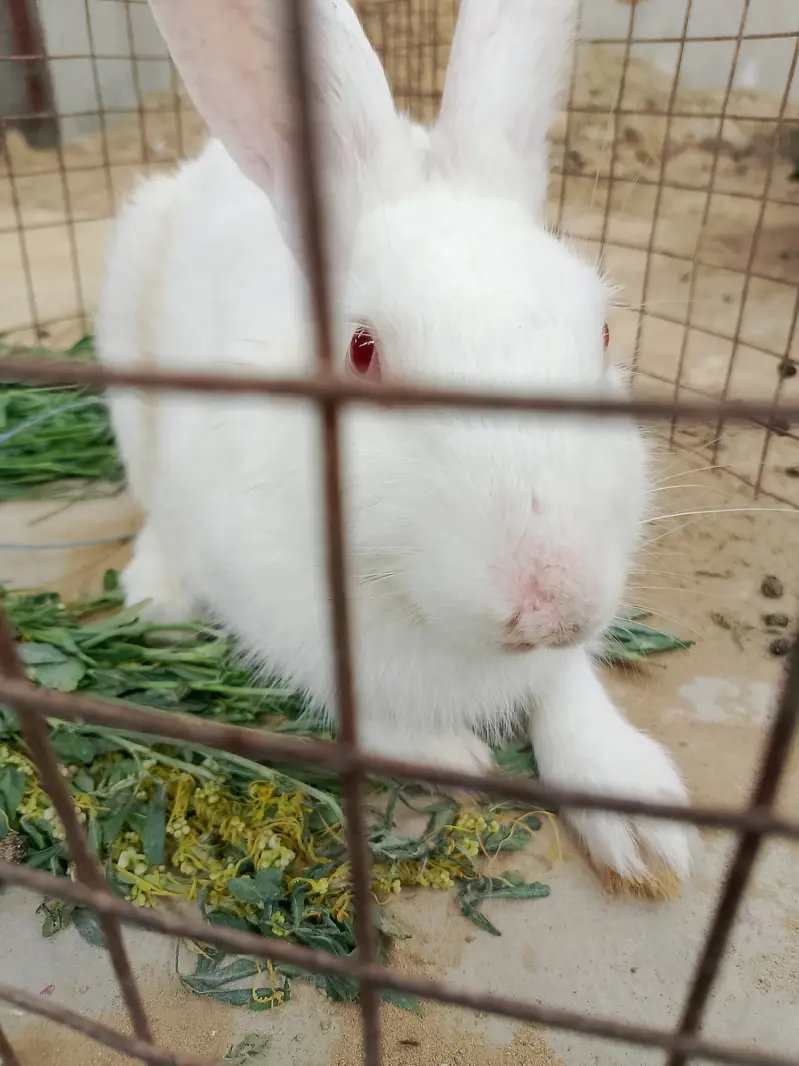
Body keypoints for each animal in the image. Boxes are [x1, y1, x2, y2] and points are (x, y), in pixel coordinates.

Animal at [95, 0, 696, 889]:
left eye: (604, 332)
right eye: (362, 351)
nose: (554, 607)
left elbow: (567, 690)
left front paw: (643, 826)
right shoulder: (274, 608)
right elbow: (357, 709)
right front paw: (455, 758)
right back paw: (155, 600)